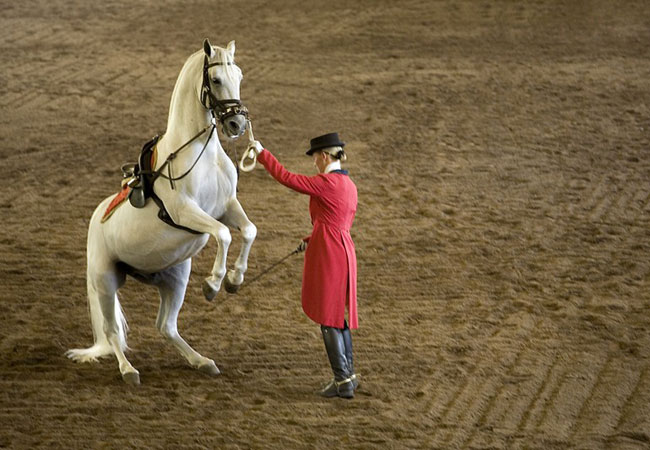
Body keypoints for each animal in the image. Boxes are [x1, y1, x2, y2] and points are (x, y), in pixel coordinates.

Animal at [66, 39, 257, 385]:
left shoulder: (226, 206)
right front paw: (213, 284)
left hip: (175, 278)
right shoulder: (185, 212)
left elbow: (248, 230)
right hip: (104, 280)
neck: (200, 154)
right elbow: (223, 234)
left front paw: (234, 280)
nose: (237, 124)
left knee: (166, 327)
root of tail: (96, 218)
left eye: (239, 76)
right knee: (112, 330)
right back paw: (128, 370)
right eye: (216, 79)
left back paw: (201, 361)